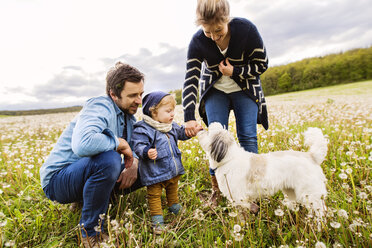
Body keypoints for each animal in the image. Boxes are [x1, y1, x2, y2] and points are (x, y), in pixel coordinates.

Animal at [198, 122, 328, 217]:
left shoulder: (239, 198)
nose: (200, 129)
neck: (229, 158)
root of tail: (311, 156)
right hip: (291, 191)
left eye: (208, 131)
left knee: (320, 212)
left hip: (311, 195)